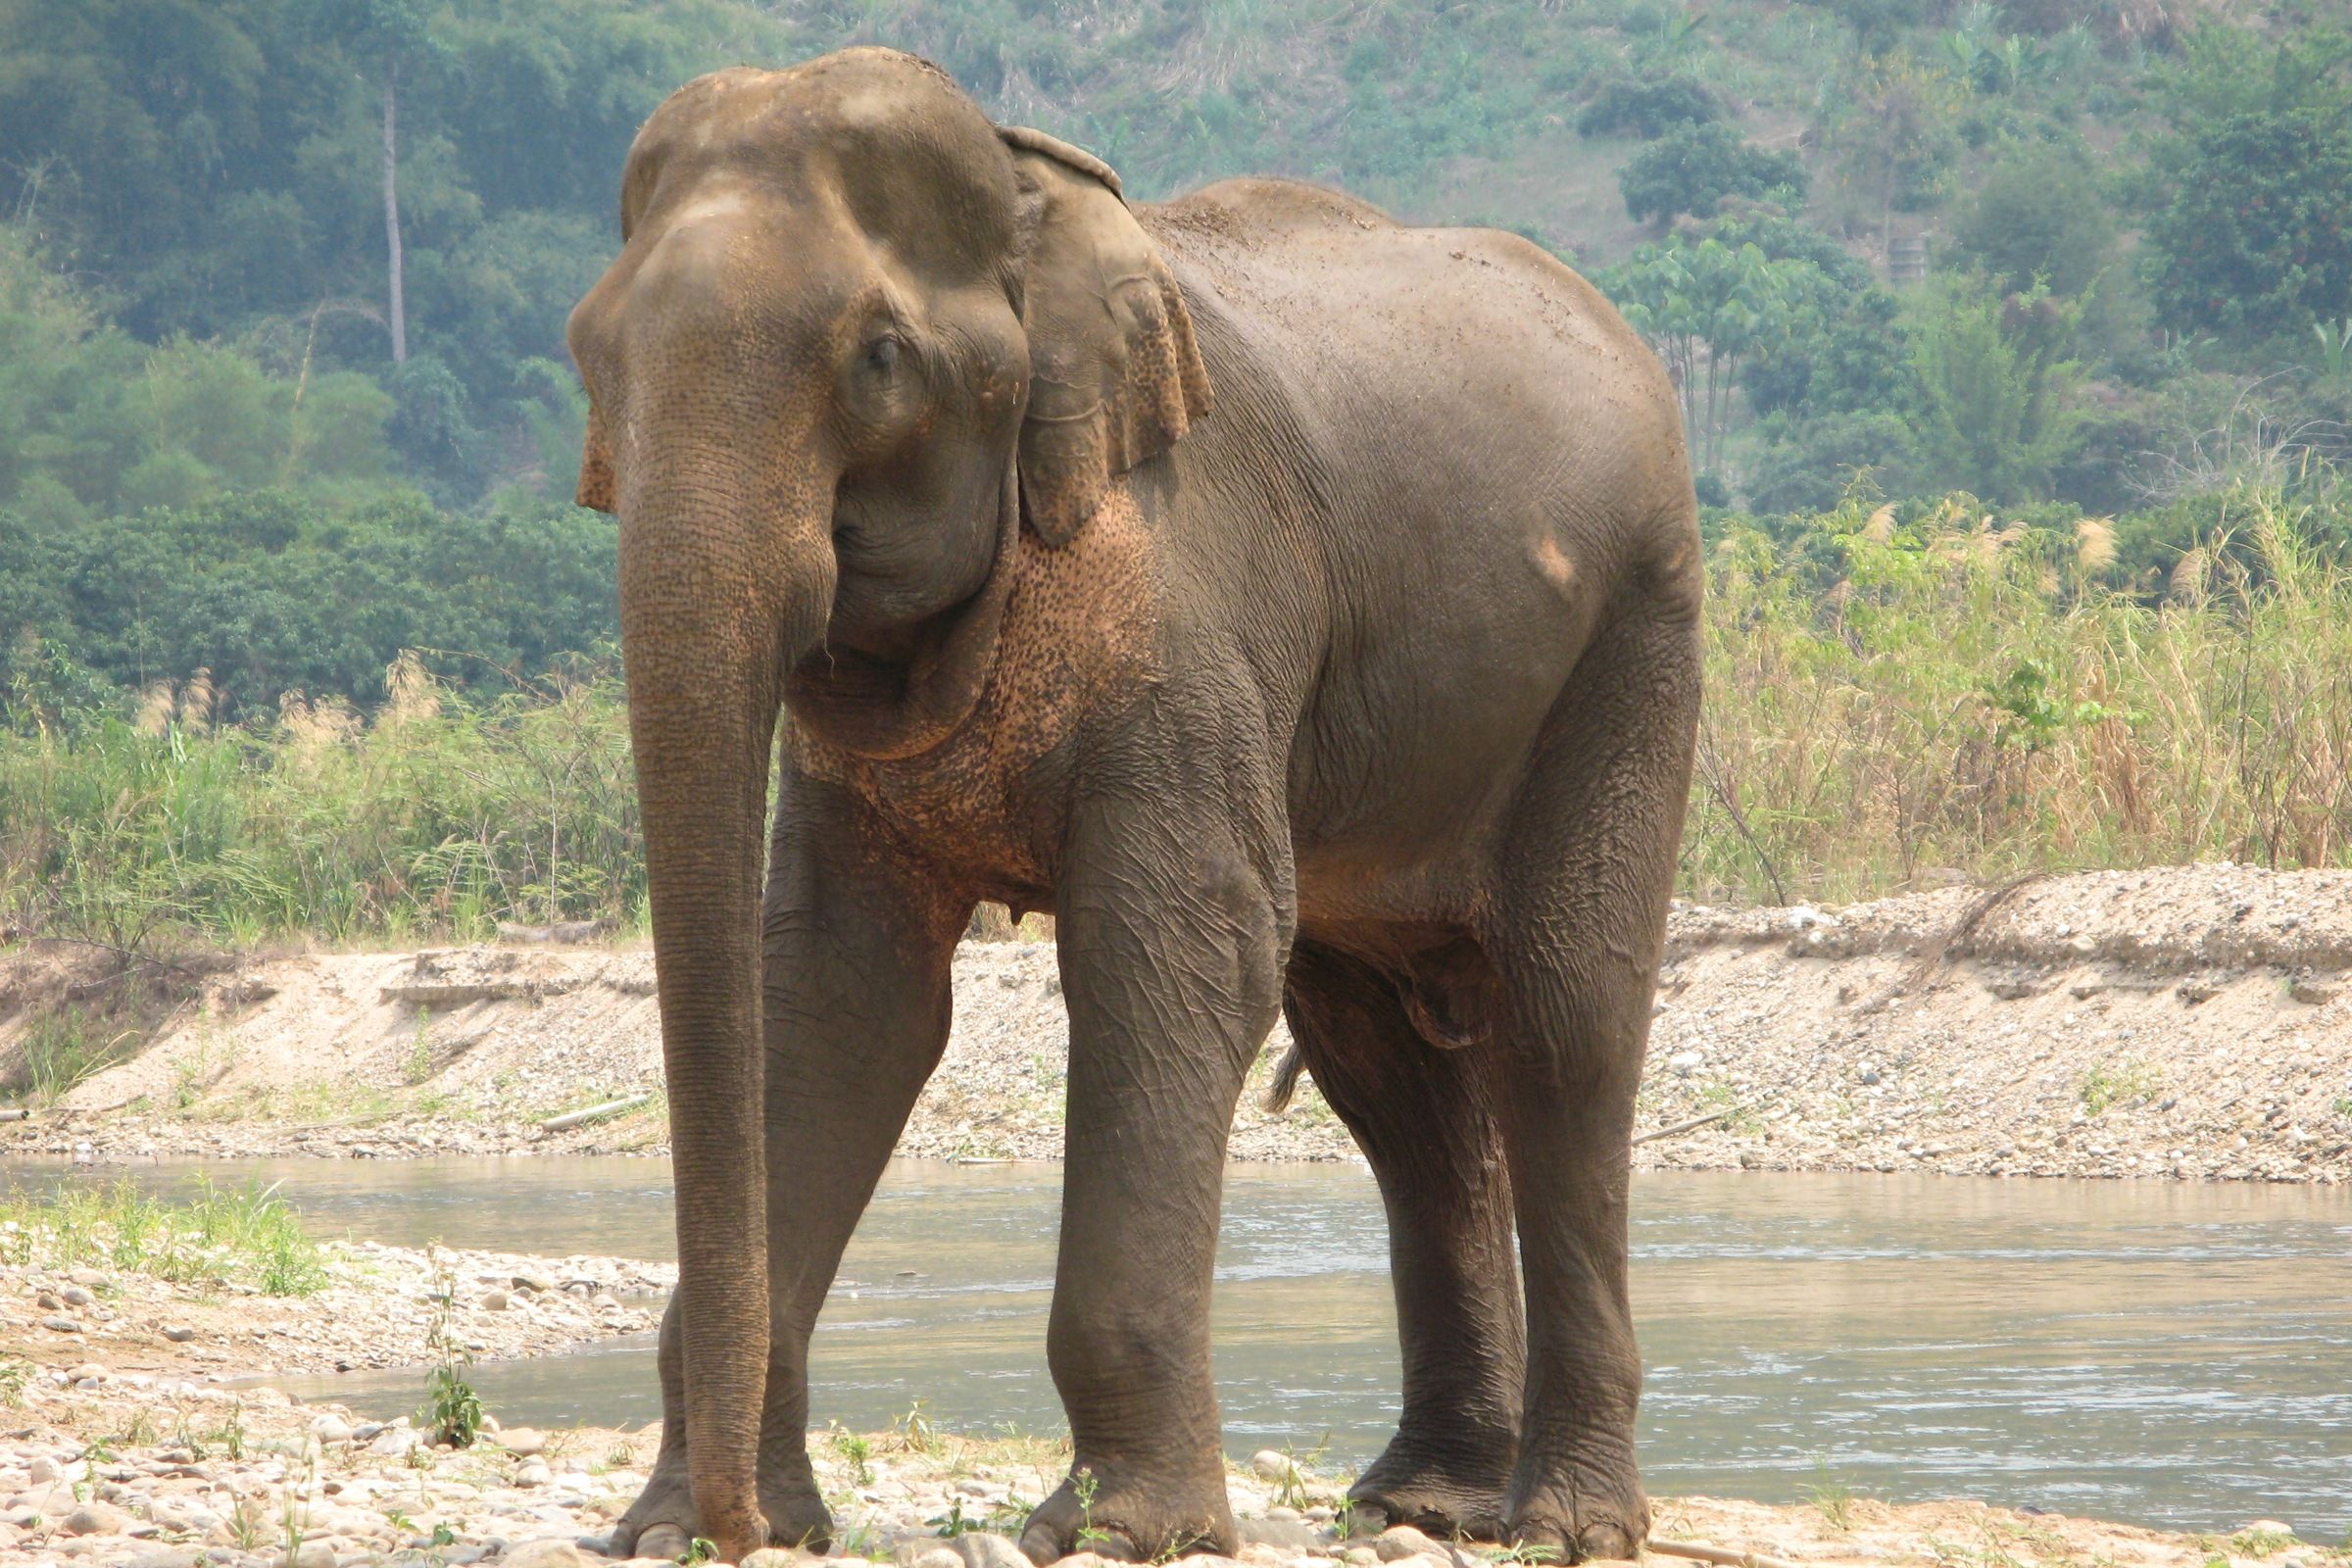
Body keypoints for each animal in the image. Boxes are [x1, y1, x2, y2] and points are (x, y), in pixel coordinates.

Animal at [565, 46, 1701, 1567]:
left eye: (880, 361)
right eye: (591, 355)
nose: (735, 1532)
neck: (1031, 192)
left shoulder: (1186, 598)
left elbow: (1174, 949)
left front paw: (1120, 1532)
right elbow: (843, 994)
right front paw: (673, 1528)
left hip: (1634, 635)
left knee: (1566, 1019)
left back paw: (1562, 1524)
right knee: (1390, 1071)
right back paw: (1425, 1501)